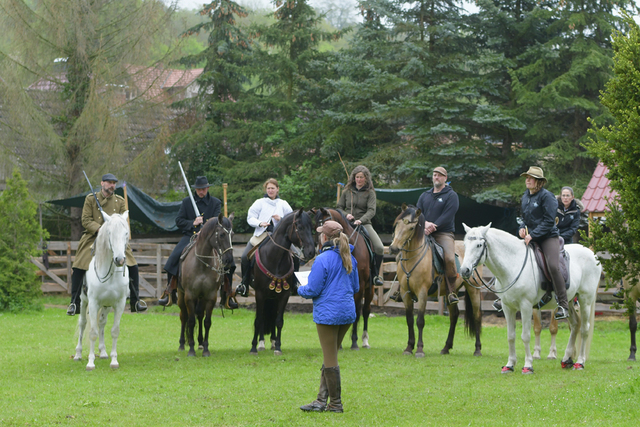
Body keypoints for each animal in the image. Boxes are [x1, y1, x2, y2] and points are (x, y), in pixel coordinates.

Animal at [176, 214, 234, 358]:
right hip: (181, 296)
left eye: (233, 234)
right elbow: (191, 321)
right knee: (184, 316)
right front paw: (191, 349)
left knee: (200, 315)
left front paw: (206, 349)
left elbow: (207, 321)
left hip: (201, 298)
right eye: (222, 235)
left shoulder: (210, 296)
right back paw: (182, 344)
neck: (202, 264)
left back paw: (201, 342)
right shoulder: (189, 296)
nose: (229, 260)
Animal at [251, 210, 318, 354]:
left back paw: (272, 341)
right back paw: (261, 343)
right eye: (300, 227)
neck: (274, 258)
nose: (311, 252)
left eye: (311, 228)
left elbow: (279, 321)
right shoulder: (259, 294)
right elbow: (259, 320)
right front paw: (253, 347)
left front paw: (278, 346)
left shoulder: (284, 295)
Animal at [314, 208, 376, 352]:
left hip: (369, 289)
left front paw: (354, 342)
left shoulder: (360, 286)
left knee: (366, 311)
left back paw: (365, 340)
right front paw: (340, 343)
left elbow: (357, 312)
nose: (320, 250)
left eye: (324, 224)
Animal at [388, 206, 482, 360]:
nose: (394, 248)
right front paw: (409, 347)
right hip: (452, 292)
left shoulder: (422, 293)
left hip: (474, 289)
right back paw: (446, 347)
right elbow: (409, 320)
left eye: (411, 227)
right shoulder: (405, 293)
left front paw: (420, 349)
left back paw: (478, 349)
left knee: (477, 315)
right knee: (454, 315)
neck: (412, 260)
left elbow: (420, 320)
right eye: (397, 225)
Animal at [460, 224, 600, 374]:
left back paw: (580, 362)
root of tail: (592, 254)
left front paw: (528, 365)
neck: (513, 264)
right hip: (569, 301)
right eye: (465, 244)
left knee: (584, 329)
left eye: (479, 245)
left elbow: (525, 336)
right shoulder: (507, 307)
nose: (464, 270)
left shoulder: (525, 306)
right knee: (575, 324)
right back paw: (567, 360)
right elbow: (511, 336)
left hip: (585, 300)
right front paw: (510, 365)